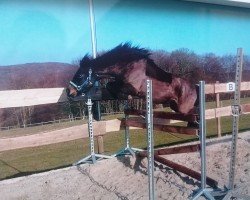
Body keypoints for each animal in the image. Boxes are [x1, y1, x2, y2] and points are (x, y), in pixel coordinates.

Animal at [66, 43, 197, 115]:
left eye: (80, 75)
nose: (68, 91)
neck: (127, 65)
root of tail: (194, 87)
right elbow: (110, 85)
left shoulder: (134, 88)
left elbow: (115, 86)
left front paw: (126, 96)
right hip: (174, 106)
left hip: (184, 109)